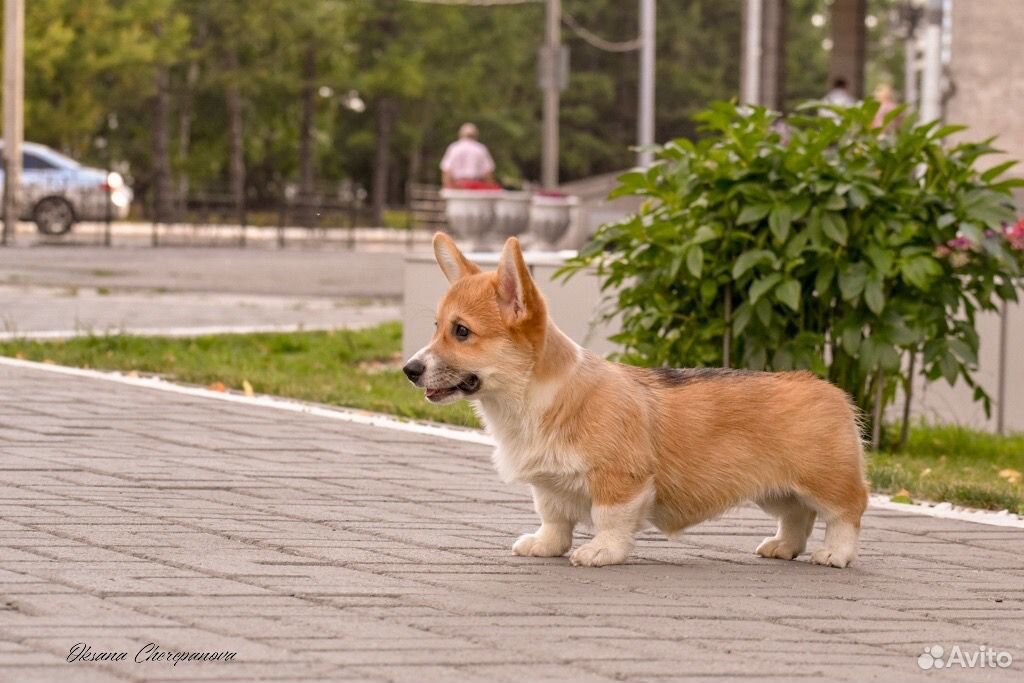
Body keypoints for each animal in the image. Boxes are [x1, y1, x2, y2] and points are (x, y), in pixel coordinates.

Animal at [403, 232, 868, 569]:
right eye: (437, 327)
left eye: (462, 331)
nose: (409, 369)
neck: (532, 400)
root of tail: (830, 389)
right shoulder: (549, 487)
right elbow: (554, 517)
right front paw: (545, 545)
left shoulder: (620, 479)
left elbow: (609, 519)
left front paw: (600, 552)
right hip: (774, 488)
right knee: (797, 515)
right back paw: (783, 546)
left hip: (825, 481)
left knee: (845, 512)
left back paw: (835, 553)